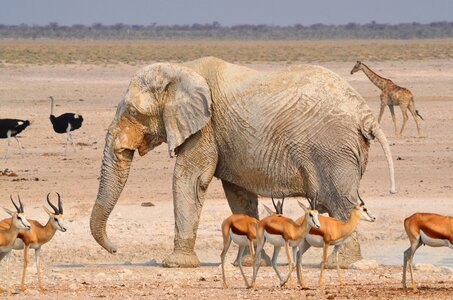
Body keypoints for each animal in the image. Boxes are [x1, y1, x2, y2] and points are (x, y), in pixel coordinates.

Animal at [90, 56, 394, 268]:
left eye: (133, 112)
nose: (116, 249)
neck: (180, 69)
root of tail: (365, 114)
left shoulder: (205, 128)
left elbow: (190, 180)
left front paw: (175, 264)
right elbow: (238, 193)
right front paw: (250, 263)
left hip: (333, 150)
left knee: (341, 202)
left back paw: (340, 264)